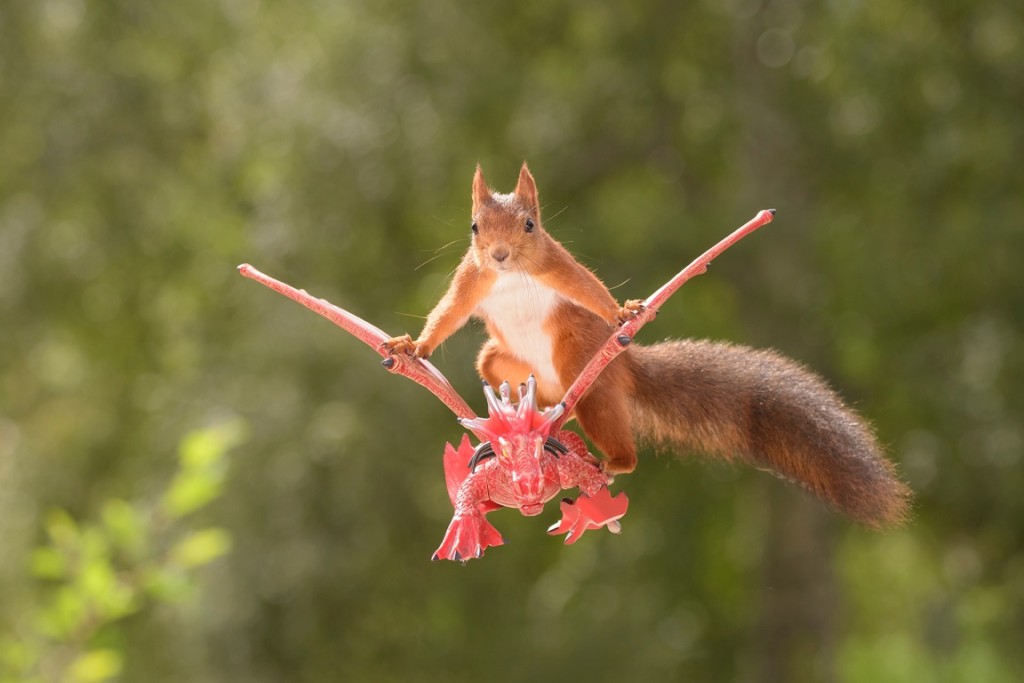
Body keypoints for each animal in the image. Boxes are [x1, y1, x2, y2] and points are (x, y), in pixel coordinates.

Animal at [385, 162, 913, 528]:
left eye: (530, 225)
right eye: (475, 227)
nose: (498, 254)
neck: (512, 277)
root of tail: (621, 367)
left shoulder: (557, 266)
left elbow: (590, 290)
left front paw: (623, 311)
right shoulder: (471, 281)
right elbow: (446, 315)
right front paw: (412, 346)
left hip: (584, 369)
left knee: (616, 440)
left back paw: (603, 453)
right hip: (500, 361)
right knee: (512, 376)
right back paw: (533, 418)